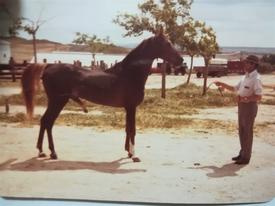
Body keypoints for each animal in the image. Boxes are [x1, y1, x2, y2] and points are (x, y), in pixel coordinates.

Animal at [20, 32, 182, 162]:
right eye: (167, 44)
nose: (181, 60)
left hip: (56, 101)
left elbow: (127, 129)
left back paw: (44, 152)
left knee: (45, 122)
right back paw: (51, 152)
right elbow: (133, 130)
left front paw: (129, 153)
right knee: (48, 122)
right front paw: (135, 156)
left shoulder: (128, 108)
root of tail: (48, 66)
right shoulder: (131, 108)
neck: (129, 74)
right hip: (58, 101)